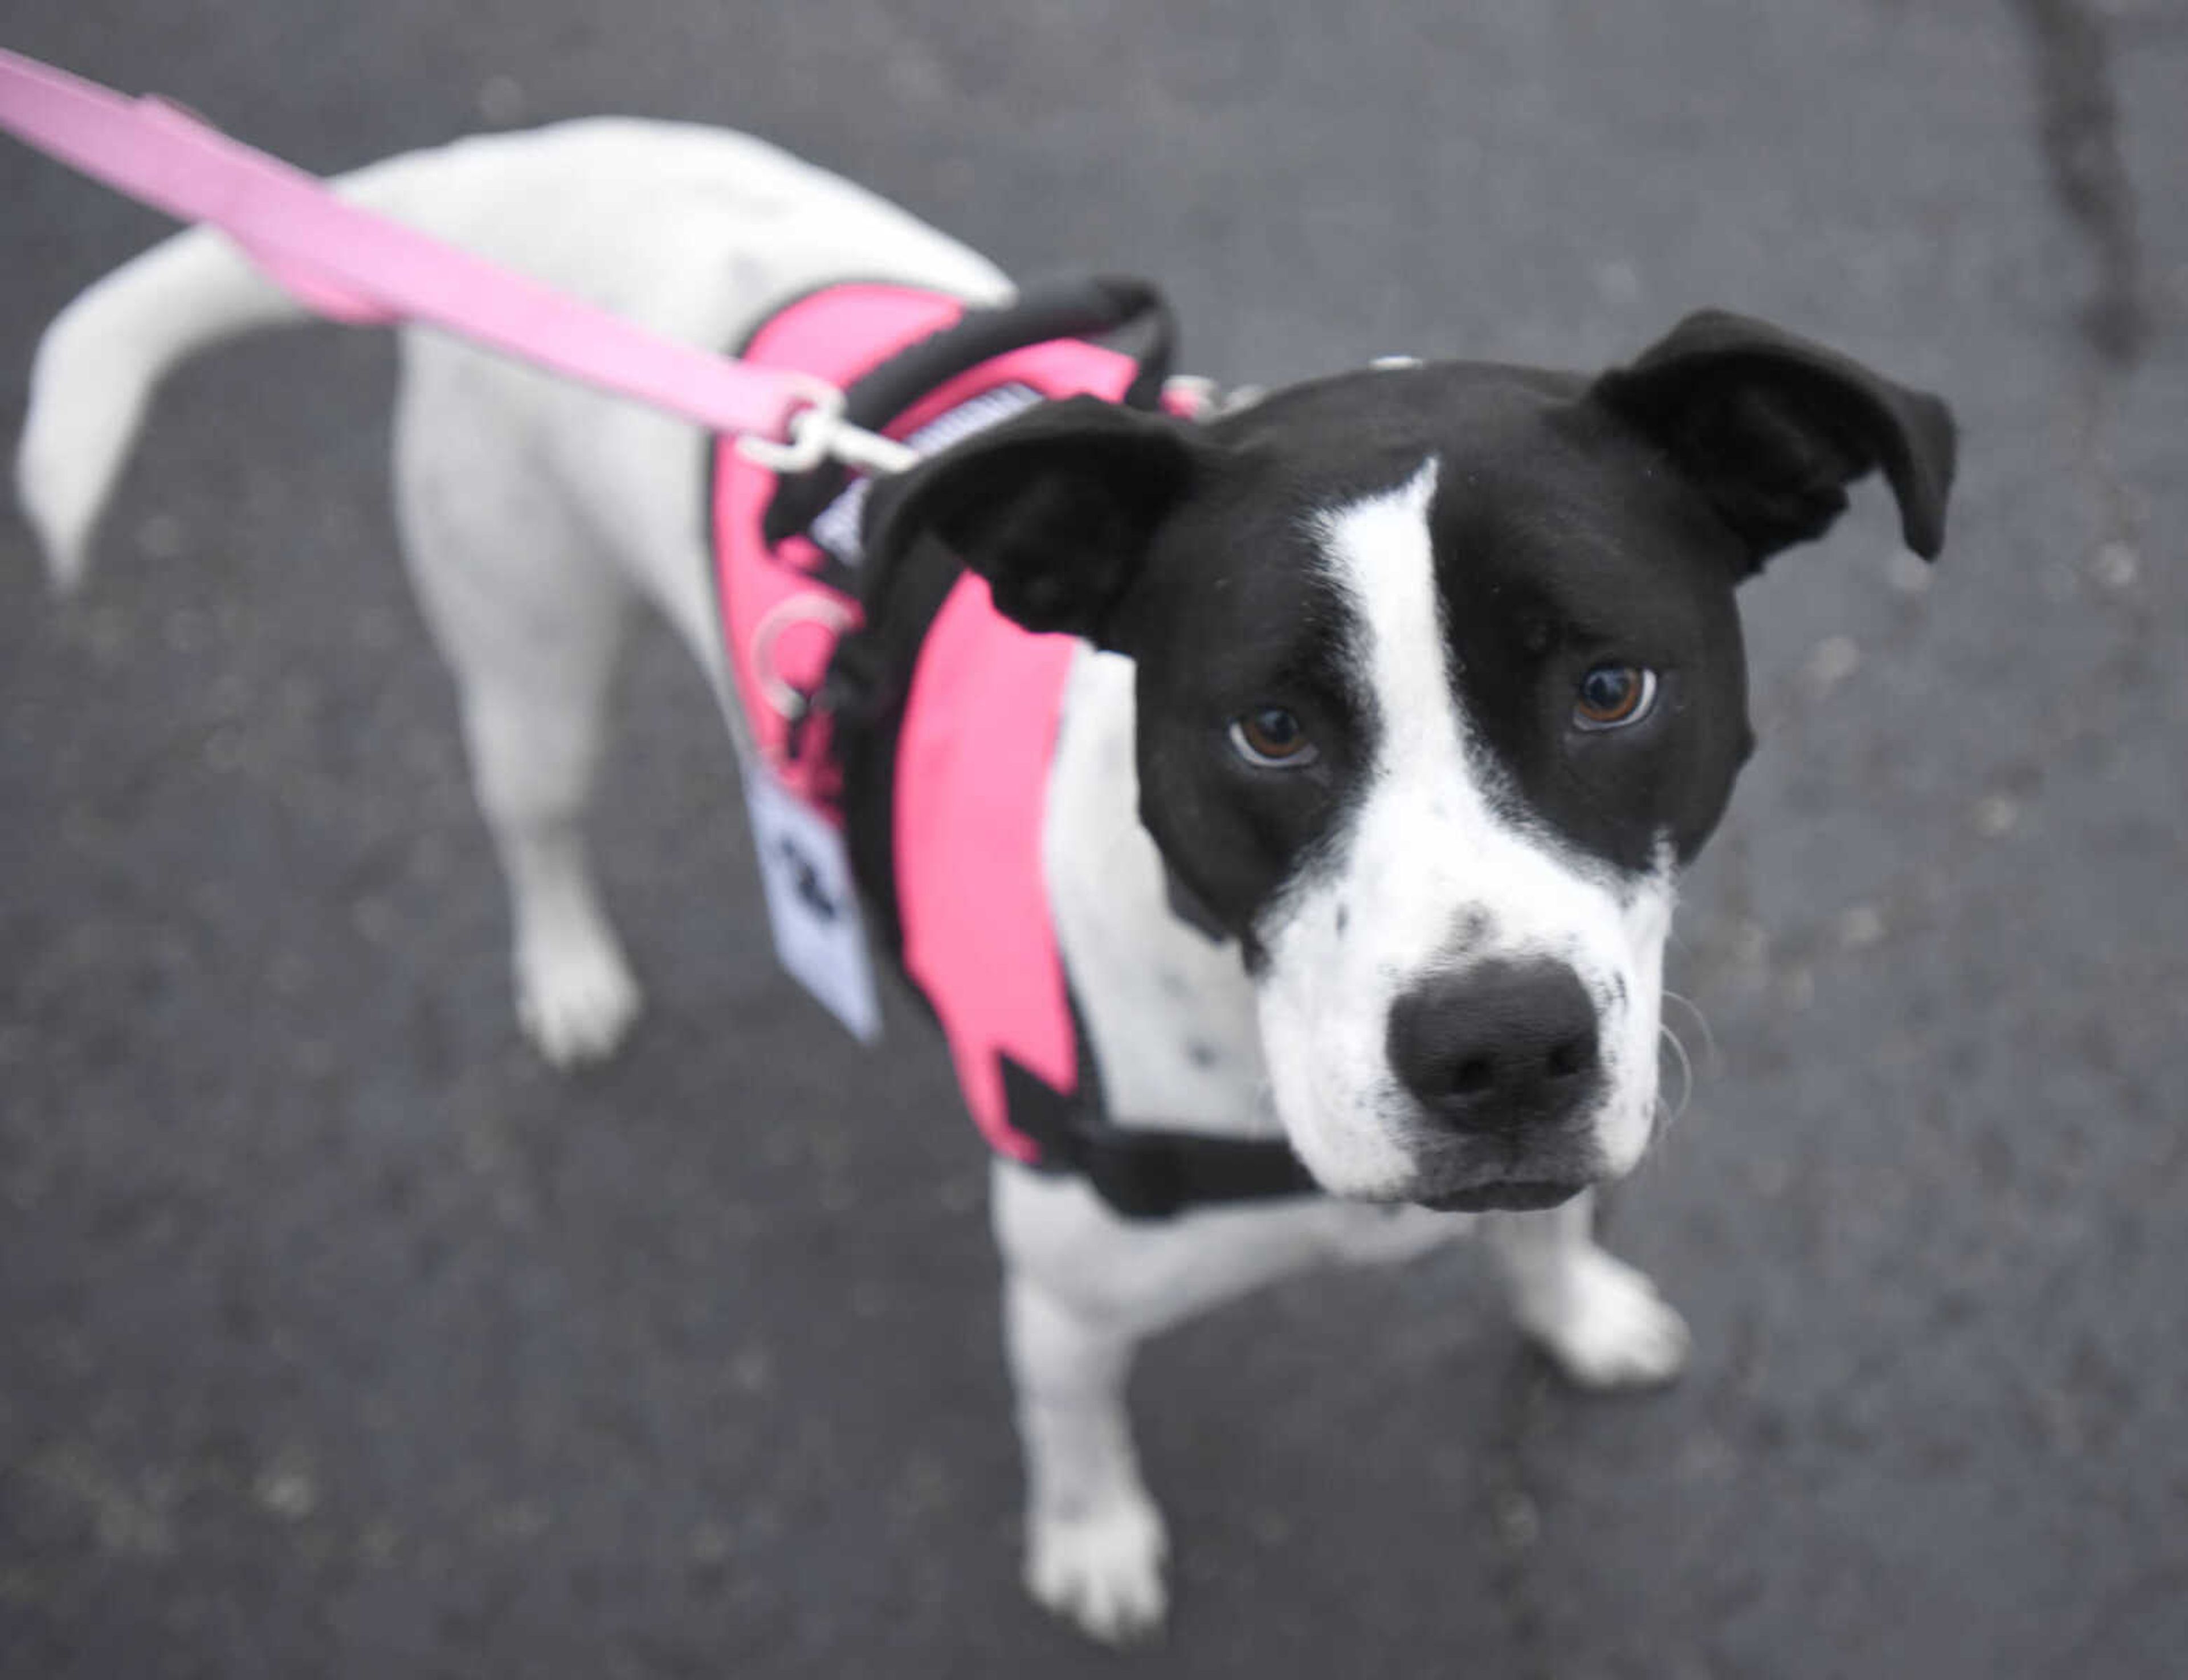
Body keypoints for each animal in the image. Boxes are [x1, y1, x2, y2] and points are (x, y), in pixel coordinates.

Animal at [13, 118, 1969, 1645]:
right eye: (1269, 728)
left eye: (1608, 685)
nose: (1497, 1049)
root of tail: (501, 175)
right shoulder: (1061, 1284)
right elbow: (1073, 1424)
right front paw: (1092, 1541)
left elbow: (1551, 1224)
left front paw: (1574, 1309)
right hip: (523, 640)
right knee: (536, 821)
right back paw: (567, 969)